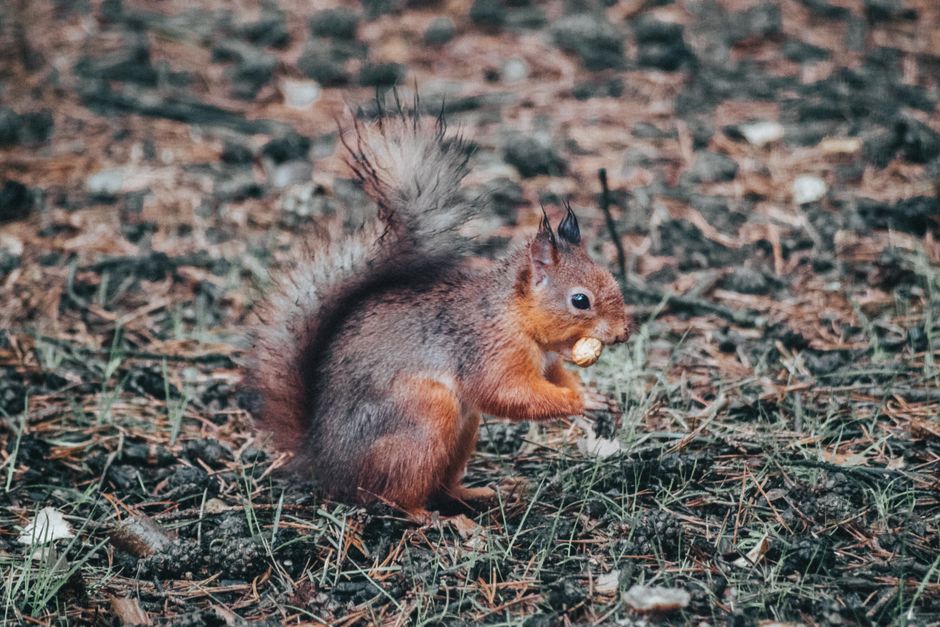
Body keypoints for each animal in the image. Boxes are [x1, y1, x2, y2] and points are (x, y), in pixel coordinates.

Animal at [243, 111, 630, 523]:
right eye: (580, 300)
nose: (623, 333)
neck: (515, 318)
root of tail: (325, 463)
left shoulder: (548, 361)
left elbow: (555, 379)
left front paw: (595, 397)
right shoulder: (488, 352)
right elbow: (509, 394)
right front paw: (580, 402)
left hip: (461, 430)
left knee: (441, 486)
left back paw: (476, 494)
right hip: (424, 418)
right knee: (389, 495)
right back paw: (429, 519)